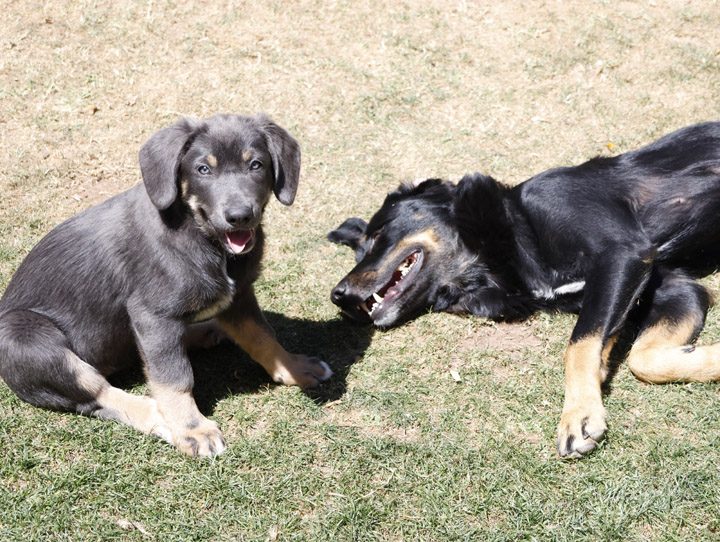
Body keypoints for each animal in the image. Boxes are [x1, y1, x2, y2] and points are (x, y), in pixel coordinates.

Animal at [0, 115, 332, 460]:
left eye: (256, 165)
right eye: (203, 169)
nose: (240, 217)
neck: (203, 238)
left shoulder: (239, 296)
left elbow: (263, 335)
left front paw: (293, 366)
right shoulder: (153, 315)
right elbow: (175, 377)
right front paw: (191, 427)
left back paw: (208, 332)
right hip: (24, 335)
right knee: (97, 393)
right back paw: (157, 415)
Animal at [330, 122, 720, 460]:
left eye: (378, 235)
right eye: (359, 250)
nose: (337, 296)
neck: (505, 245)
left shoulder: (623, 252)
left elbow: (579, 344)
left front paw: (578, 414)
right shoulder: (677, 288)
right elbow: (641, 358)